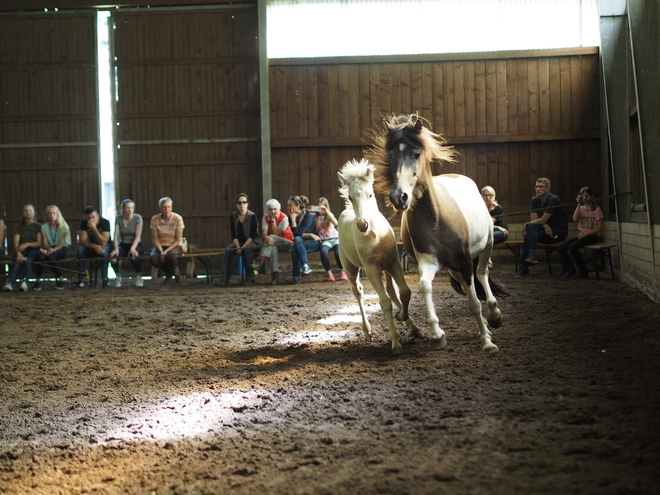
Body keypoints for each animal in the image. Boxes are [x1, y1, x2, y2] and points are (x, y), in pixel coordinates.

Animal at [338, 157, 420, 354]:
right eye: (350, 197)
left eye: (370, 194)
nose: (362, 225)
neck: (374, 235)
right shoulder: (371, 269)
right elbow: (384, 302)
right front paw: (396, 344)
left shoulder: (393, 262)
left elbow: (404, 291)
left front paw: (403, 318)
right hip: (351, 269)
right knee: (358, 292)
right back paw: (367, 330)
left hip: (387, 268)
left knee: (392, 290)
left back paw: (412, 326)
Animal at [366, 114, 506, 352]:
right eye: (391, 155)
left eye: (416, 153)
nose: (399, 197)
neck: (436, 218)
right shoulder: (429, 261)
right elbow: (424, 286)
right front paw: (437, 335)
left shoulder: (464, 260)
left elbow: (474, 303)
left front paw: (487, 342)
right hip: (453, 268)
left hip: (485, 247)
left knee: (481, 275)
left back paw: (494, 316)